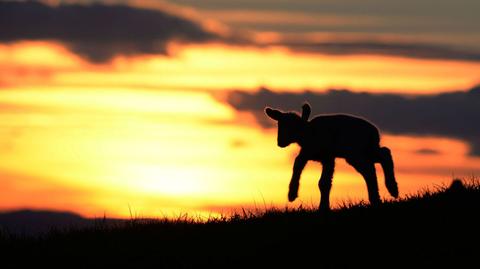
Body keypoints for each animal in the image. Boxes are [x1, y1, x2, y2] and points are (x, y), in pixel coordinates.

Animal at [266, 102, 398, 209]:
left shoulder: (328, 157)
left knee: (374, 165)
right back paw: (385, 193)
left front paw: (323, 207)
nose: (280, 142)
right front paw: (292, 194)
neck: (309, 133)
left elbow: (324, 183)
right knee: (381, 157)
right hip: (364, 151)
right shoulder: (307, 154)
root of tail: (374, 133)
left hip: (356, 153)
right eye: (279, 125)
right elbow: (297, 165)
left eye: (293, 126)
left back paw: (387, 192)